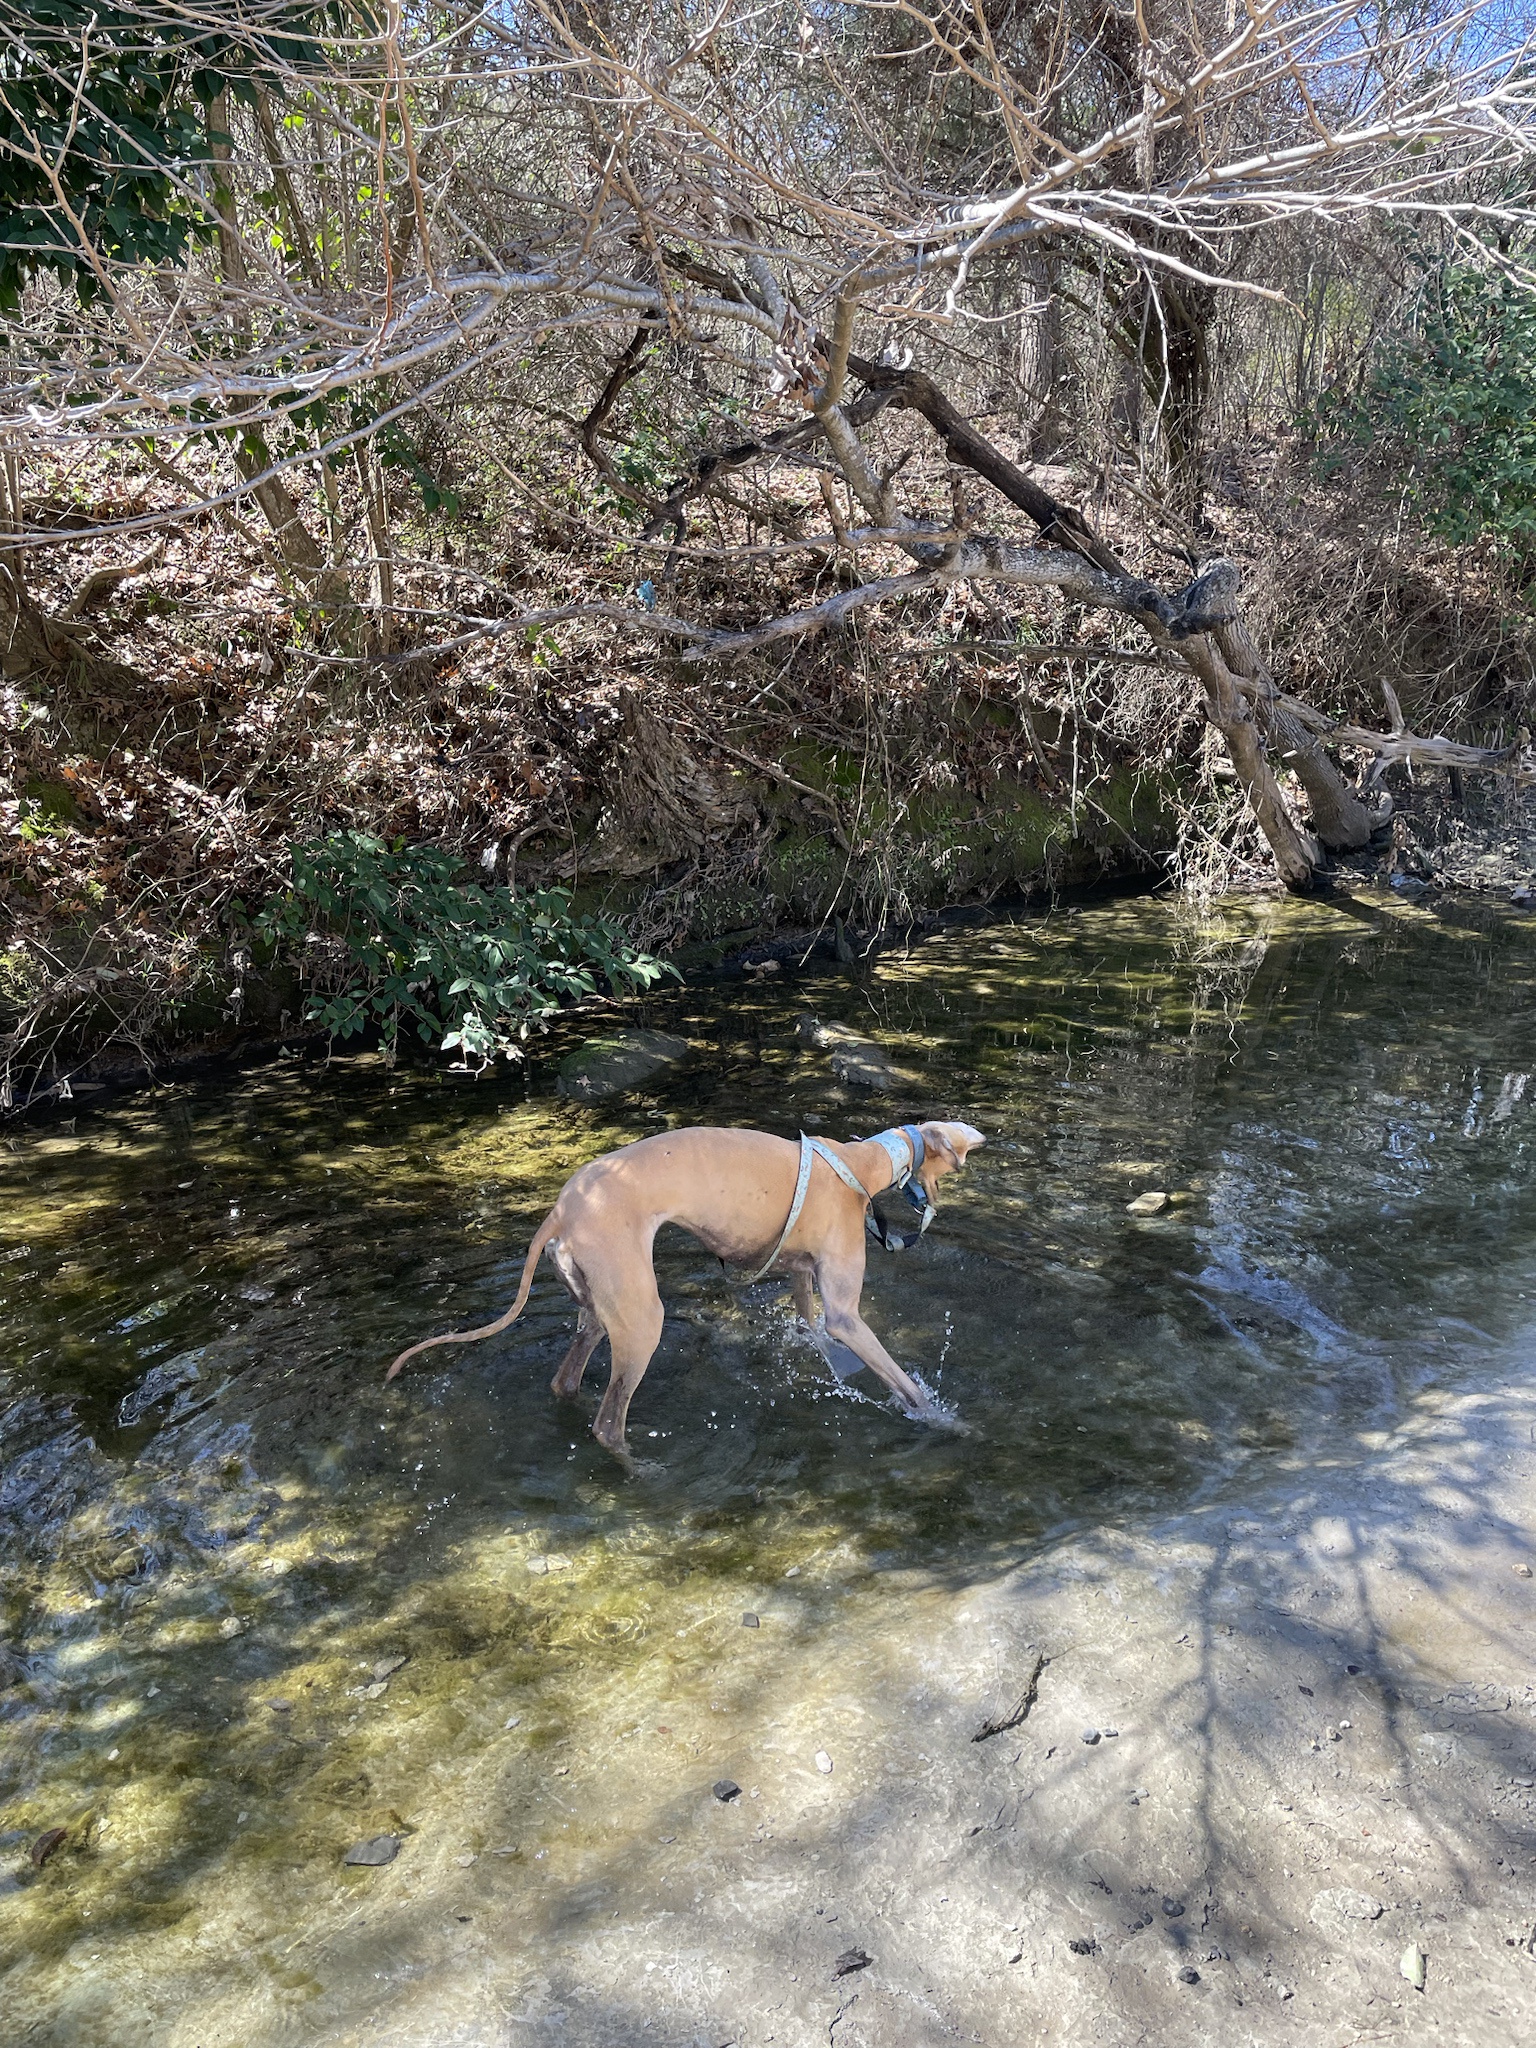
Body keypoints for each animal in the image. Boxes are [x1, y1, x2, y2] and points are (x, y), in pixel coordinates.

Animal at [385, 1122, 987, 1458]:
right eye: (949, 1168)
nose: (936, 1205)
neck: (857, 1164)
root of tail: (560, 1210)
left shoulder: (799, 1276)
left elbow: (810, 1323)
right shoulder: (845, 1311)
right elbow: (899, 1379)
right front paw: (948, 1422)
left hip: (599, 1309)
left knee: (567, 1381)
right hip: (642, 1318)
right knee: (608, 1425)